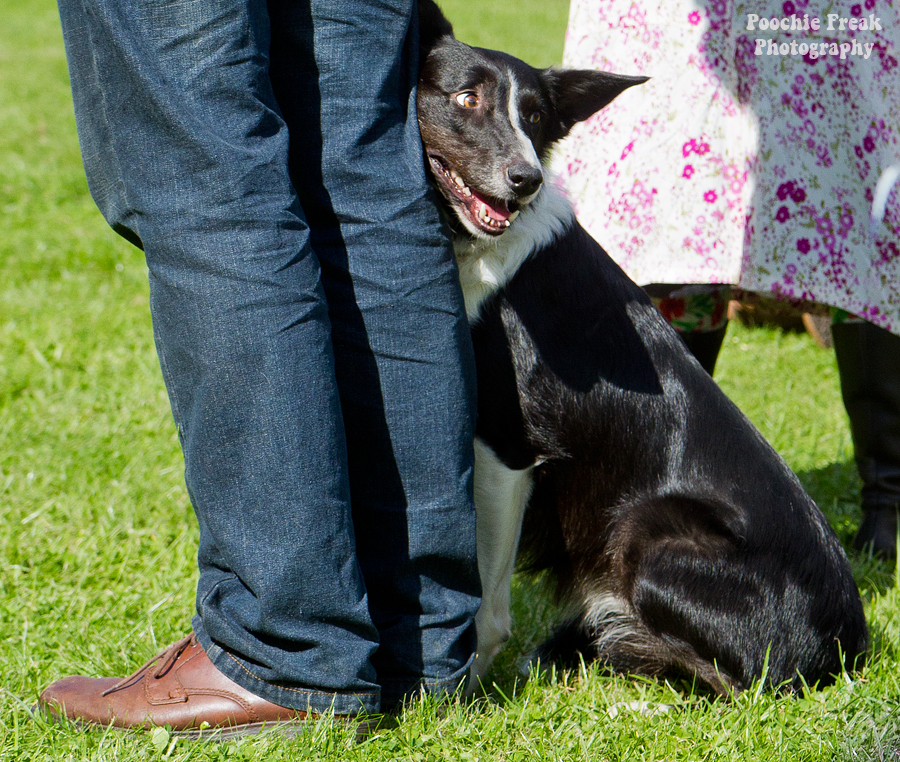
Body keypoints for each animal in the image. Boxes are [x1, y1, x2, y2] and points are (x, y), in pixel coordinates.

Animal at [418, 0, 868, 692]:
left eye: (536, 118)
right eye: (466, 98)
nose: (526, 180)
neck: (483, 251)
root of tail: (846, 652)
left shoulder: (507, 444)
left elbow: (487, 601)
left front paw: (463, 689)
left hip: (645, 532)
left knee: (732, 681)